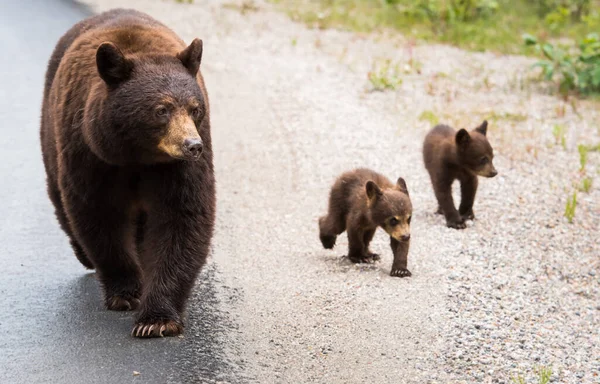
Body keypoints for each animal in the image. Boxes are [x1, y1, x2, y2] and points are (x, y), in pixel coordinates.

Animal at [39, 9, 214, 338]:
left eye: (195, 108)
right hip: (51, 136)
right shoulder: (91, 155)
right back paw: (84, 255)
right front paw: (126, 292)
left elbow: (182, 216)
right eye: (162, 109)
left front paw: (156, 319)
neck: (136, 155)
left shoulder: (177, 169)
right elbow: (99, 213)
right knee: (60, 198)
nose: (192, 145)